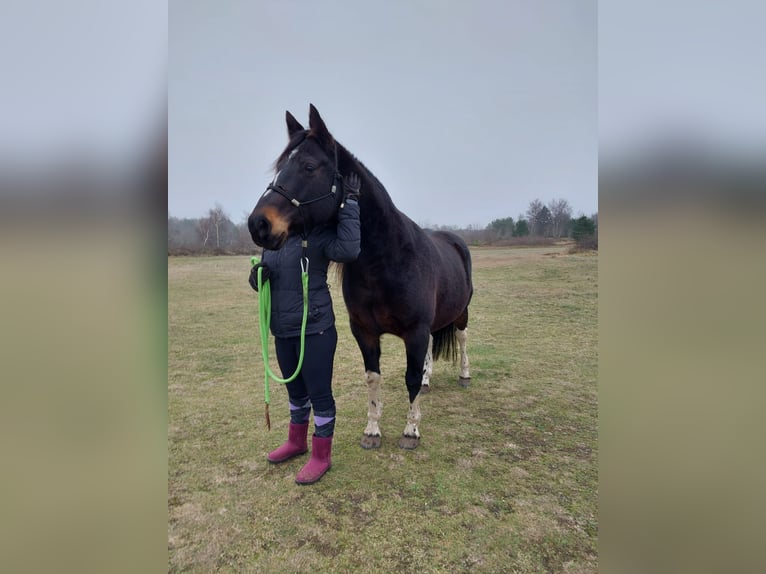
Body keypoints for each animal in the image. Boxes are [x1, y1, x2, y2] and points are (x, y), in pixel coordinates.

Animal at [248, 104, 473, 450]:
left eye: (308, 166)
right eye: (278, 168)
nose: (258, 224)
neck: (385, 262)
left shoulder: (415, 331)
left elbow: (408, 379)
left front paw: (411, 431)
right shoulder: (364, 332)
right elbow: (373, 378)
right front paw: (372, 431)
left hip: (461, 312)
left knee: (461, 338)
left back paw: (464, 375)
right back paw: (428, 380)